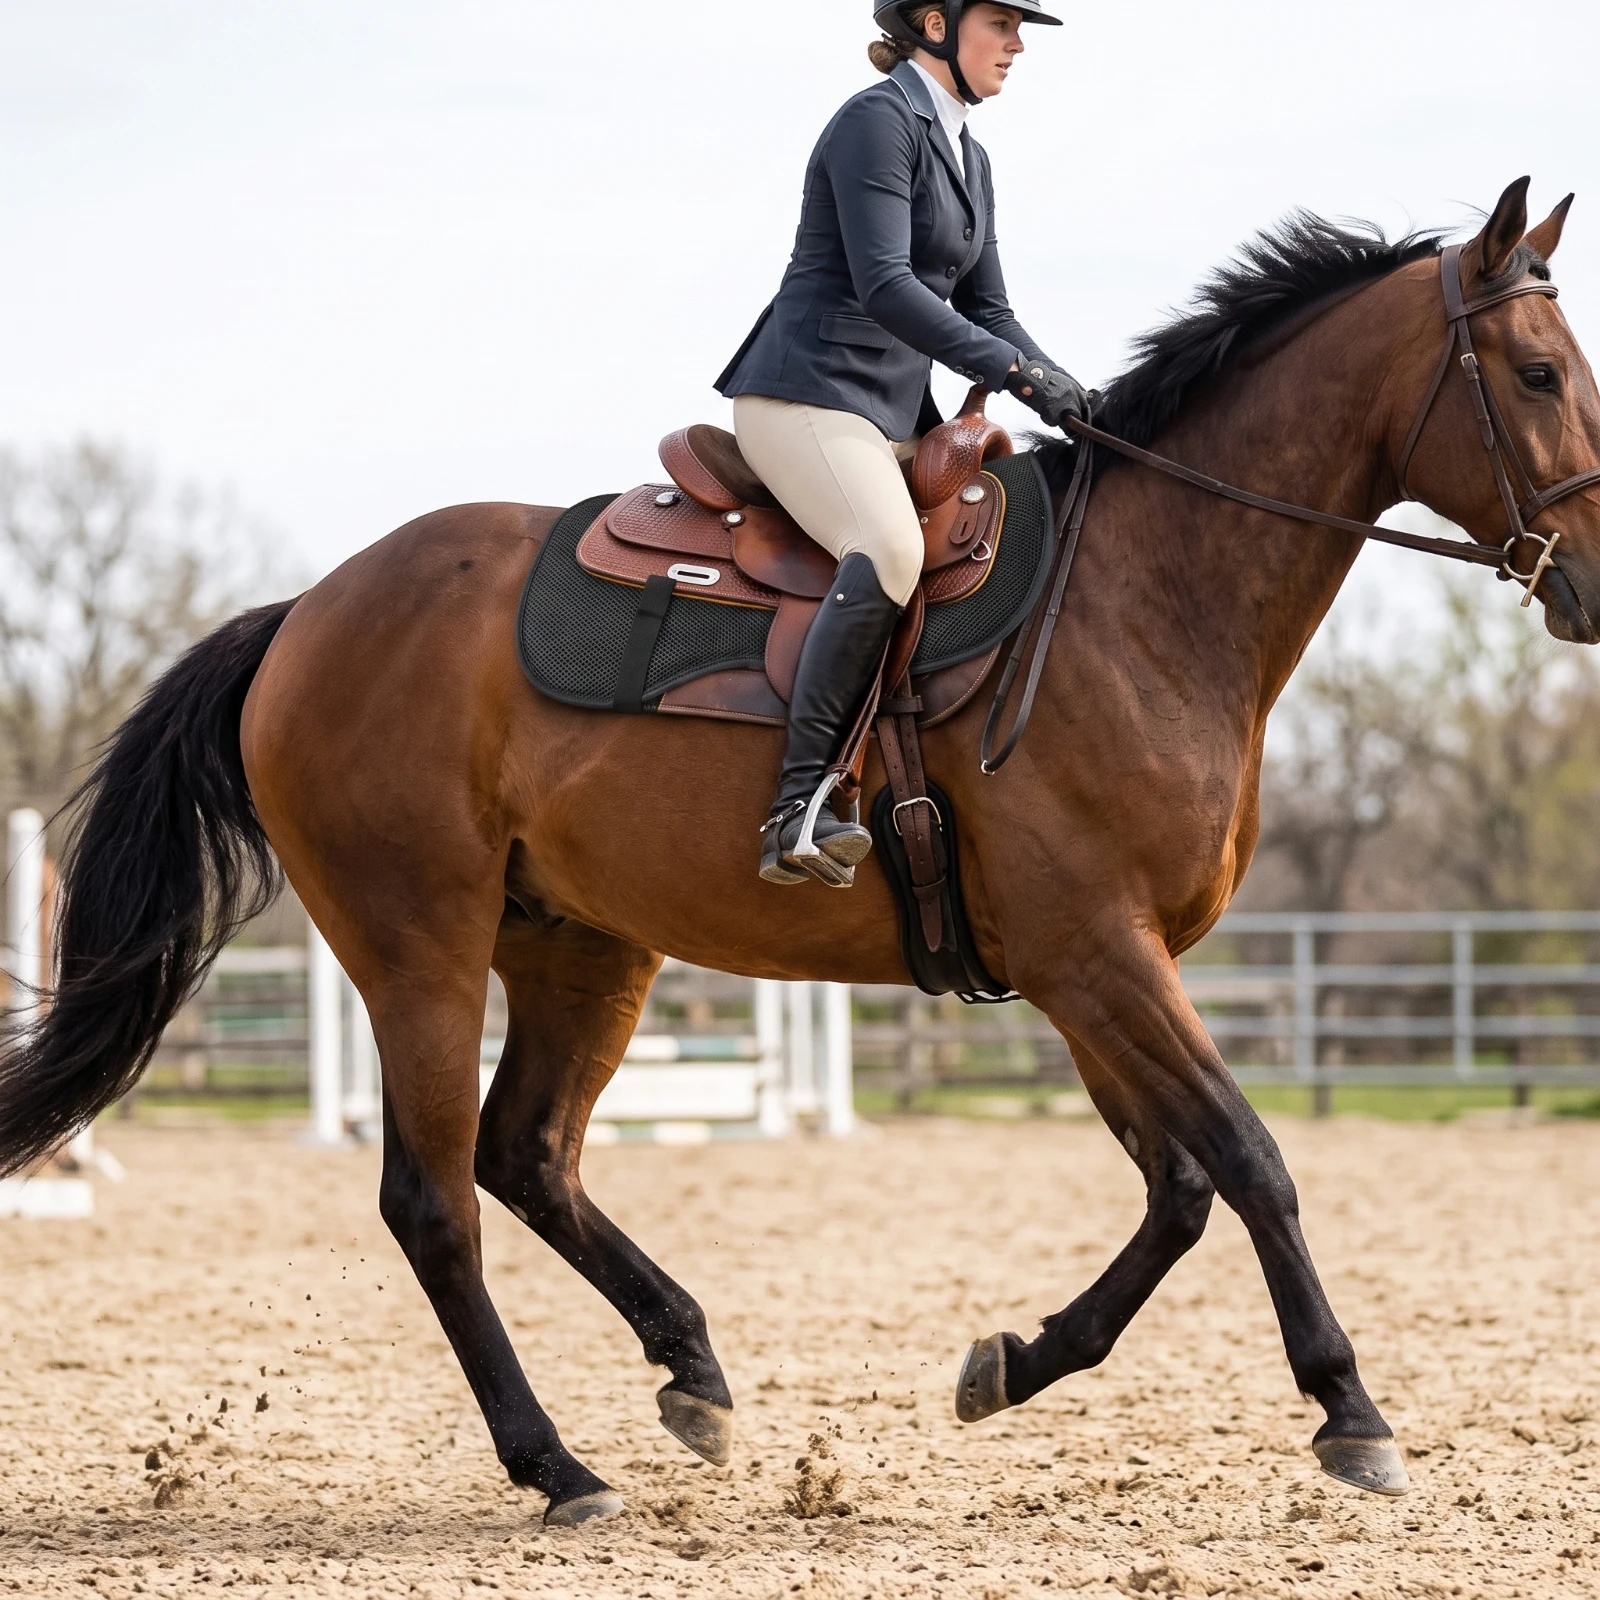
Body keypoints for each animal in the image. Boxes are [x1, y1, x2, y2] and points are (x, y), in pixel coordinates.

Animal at [1, 177, 1595, 1525]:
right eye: (1536, 375)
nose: (1586, 582)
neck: (1145, 598)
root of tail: (308, 611)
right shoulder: (1099, 953)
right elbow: (1253, 1161)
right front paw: (1351, 1412)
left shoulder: (1086, 971)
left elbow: (1181, 1186)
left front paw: (1011, 1362)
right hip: (419, 947)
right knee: (435, 1198)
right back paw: (556, 1465)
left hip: (583, 946)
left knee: (529, 1155)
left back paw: (691, 1371)